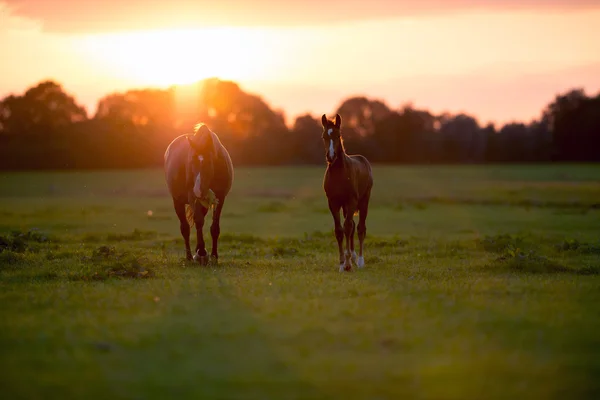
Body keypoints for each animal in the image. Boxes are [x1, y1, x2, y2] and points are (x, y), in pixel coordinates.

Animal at [164, 123, 234, 264]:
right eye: (191, 161)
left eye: (209, 162)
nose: (198, 190)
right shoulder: (192, 197)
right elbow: (199, 221)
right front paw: (202, 252)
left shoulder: (220, 197)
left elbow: (214, 227)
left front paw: (213, 256)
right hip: (178, 201)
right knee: (185, 228)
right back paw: (190, 257)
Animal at [322, 113, 372, 272]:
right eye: (324, 136)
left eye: (338, 135)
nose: (330, 156)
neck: (339, 174)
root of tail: (363, 160)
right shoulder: (333, 203)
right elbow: (339, 230)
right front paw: (342, 264)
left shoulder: (351, 201)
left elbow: (348, 228)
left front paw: (348, 263)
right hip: (345, 206)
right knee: (352, 225)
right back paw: (354, 257)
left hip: (363, 201)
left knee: (360, 228)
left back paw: (360, 261)